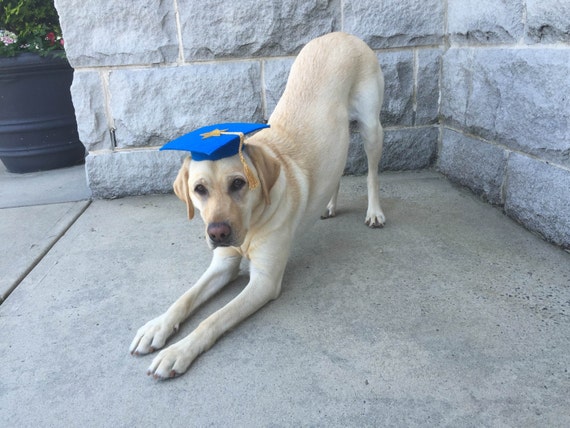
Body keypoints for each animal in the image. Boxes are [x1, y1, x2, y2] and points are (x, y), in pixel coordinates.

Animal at [130, 32, 384, 378]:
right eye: (199, 190)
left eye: (238, 183)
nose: (217, 233)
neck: (252, 224)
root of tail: (341, 34)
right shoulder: (222, 264)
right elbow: (185, 298)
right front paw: (158, 325)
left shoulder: (264, 282)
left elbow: (213, 319)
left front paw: (178, 351)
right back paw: (328, 205)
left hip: (372, 127)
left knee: (372, 172)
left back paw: (375, 212)